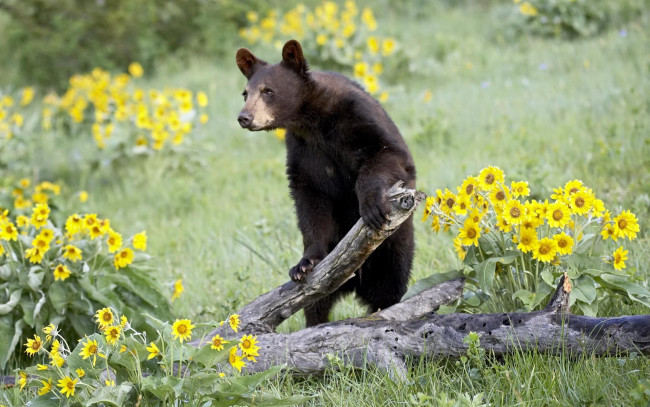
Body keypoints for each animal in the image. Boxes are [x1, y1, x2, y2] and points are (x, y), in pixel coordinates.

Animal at [235, 39, 412, 326]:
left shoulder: (359, 117)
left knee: (390, 287)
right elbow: (310, 201)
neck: (312, 121)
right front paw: (304, 263)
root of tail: (355, 284)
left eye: (268, 91)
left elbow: (387, 153)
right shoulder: (303, 151)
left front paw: (372, 207)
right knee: (315, 304)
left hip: (393, 250)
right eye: (245, 93)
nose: (244, 117)